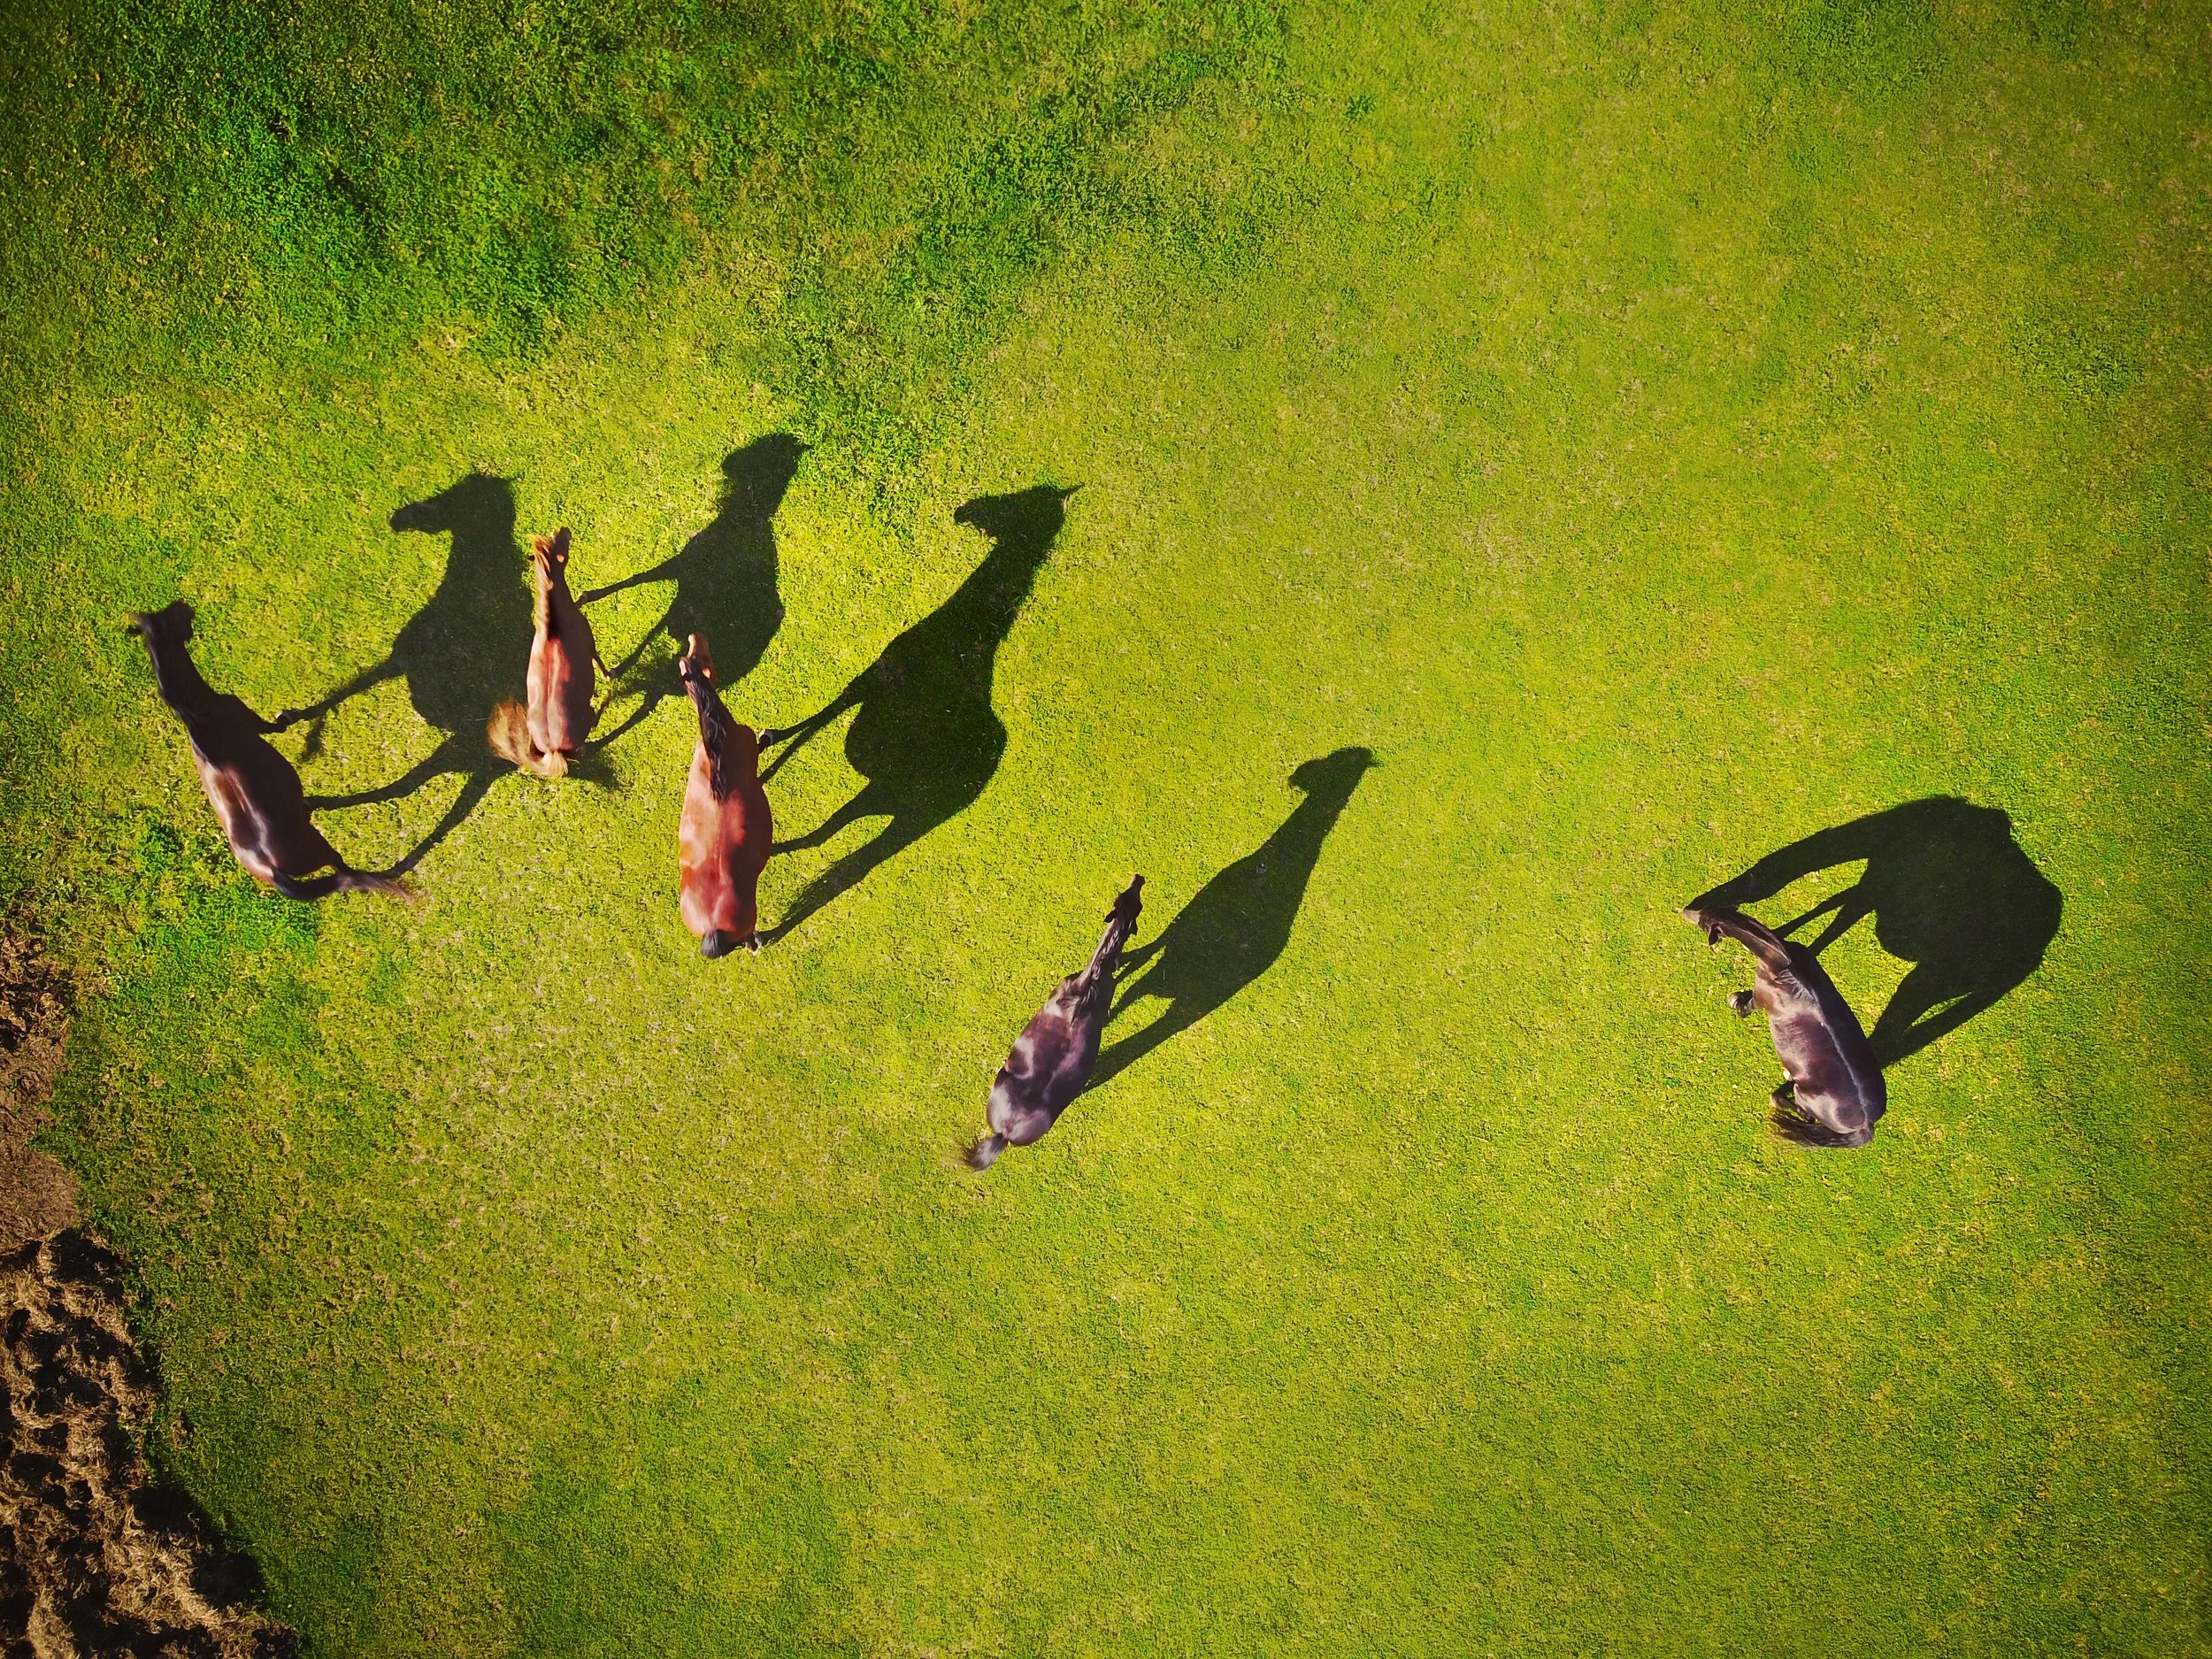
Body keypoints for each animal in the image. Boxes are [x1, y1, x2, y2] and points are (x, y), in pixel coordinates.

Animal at [128, 603, 411, 901]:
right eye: (174, 614)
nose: (188, 607)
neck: (196, 712)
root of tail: (274, 872)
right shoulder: (255, 722)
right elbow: (283, 726)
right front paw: (292, 716)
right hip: (322, 851)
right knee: (345, 870)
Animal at [487, 527, 609, 779]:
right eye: (558, 543)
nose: (565, 529)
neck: (553, 628)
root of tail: (552, 748)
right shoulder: (588, 640)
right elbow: (598, 661)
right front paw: (609, 676)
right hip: (585, 724)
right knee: (590, 730)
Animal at [677, 634, 773, 957]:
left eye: (693, 653)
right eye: (703, 656)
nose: (695, 636)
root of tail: (712, 928)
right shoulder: (752, 746)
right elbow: (768, 742)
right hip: (748, 922)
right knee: (749, 937)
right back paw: (757, 942)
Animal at [1683, 905, 1885, 1147]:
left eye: (1702, 922)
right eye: (1704, 908)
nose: (1684, 912)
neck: (1781, 964)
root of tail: (1865, 1125)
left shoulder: (1760, 999)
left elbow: (1746, 1007)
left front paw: (1736, 1002)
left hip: (1804, 1097)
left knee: (1804, 1113)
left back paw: (1778, 1095)